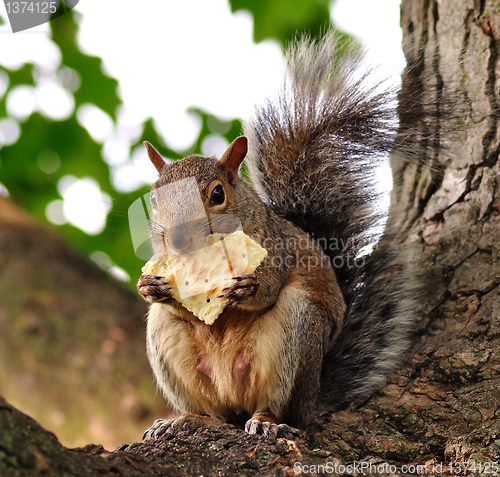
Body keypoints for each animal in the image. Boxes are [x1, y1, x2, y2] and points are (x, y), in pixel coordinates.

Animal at [137, 33, 430, 438]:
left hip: (297, 331)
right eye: (154, 198)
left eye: (217, 195)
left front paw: (248, 287)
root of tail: (313, 397)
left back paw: (266, 422)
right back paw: (189, 418)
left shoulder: (276, 248)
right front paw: (149, 286)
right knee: (214, 412)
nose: (178, 241)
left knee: (277, 405)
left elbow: (268, 286)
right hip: (171, 345)